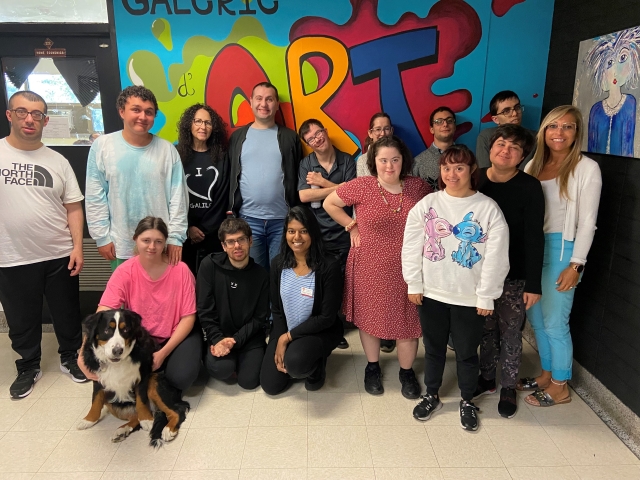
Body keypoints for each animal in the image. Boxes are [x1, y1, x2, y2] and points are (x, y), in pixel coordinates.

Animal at [76, 310, 189, 448]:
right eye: (107, 330)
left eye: (125, 330)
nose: (117, 350)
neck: (116, 363)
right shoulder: (98, 378)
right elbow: (96, 401)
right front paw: (88, 420)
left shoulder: (142, 375)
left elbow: (141, 401)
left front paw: (146, 420)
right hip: (112, 403)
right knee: (135, 417)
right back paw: (121, 431)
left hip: (154, 383)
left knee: (178, 410)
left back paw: (168, 430)